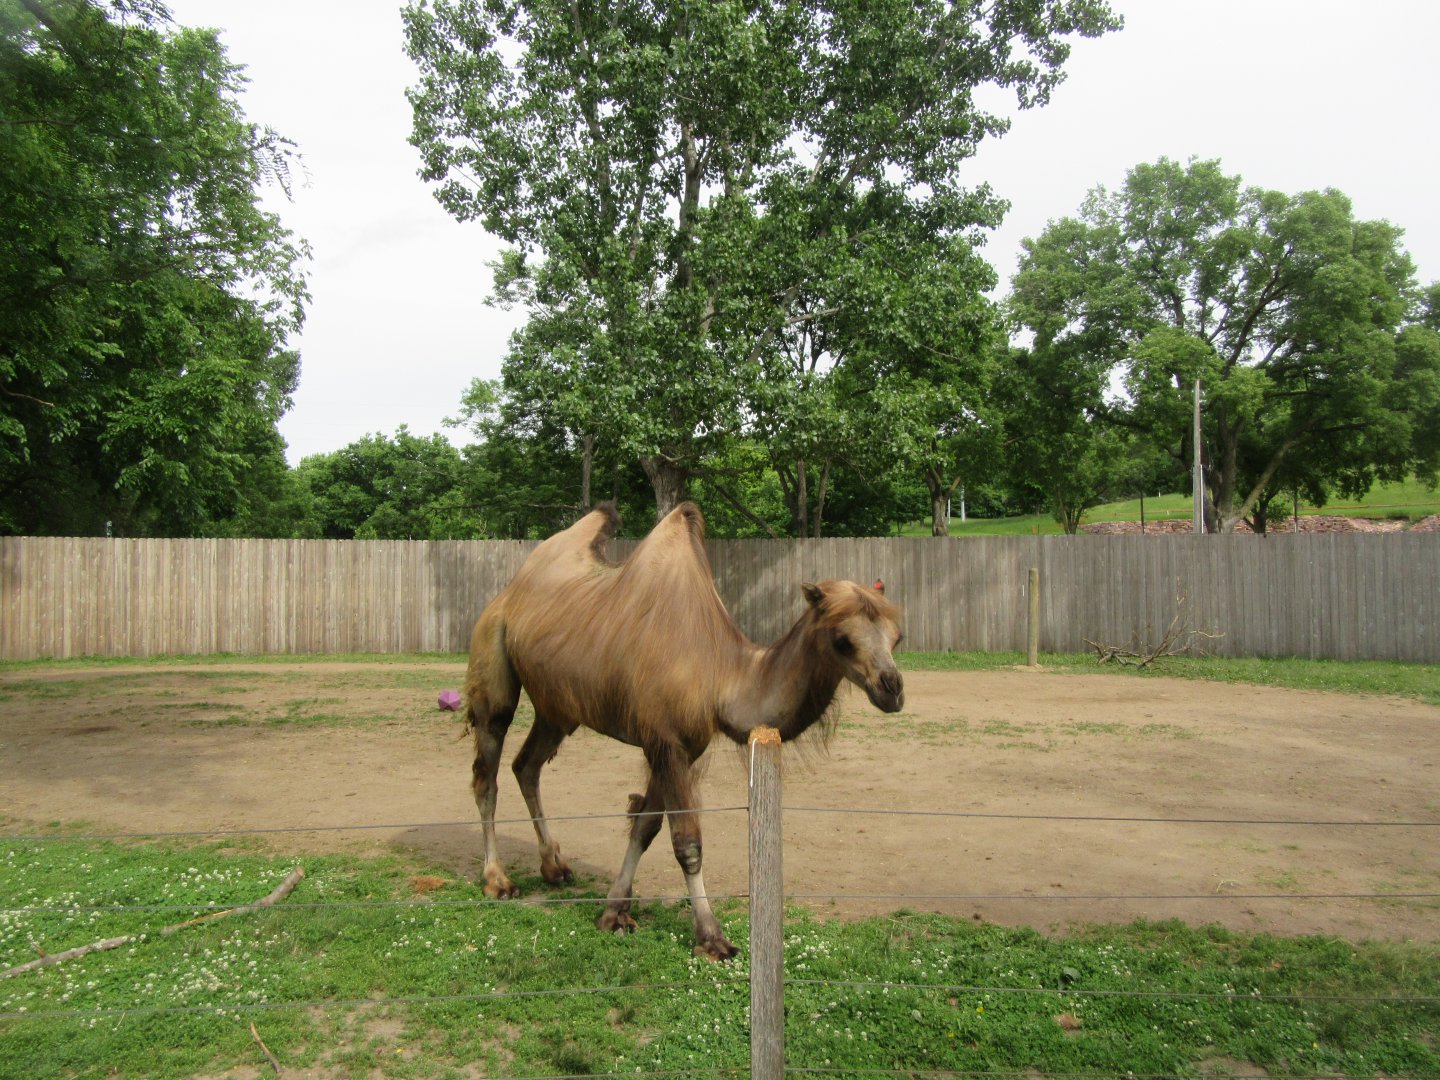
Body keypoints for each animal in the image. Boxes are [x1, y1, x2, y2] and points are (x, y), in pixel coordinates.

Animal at [462, 501, 904, 960]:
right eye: (842, 639)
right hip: (493, 661)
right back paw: (498, 881)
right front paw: (712, 937)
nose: (892, 689)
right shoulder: (665, 741)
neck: (719, 674)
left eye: (897, 638)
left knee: (526, 767)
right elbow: (687, 843)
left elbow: (645, 827)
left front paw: (614, 912)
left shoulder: (678, 748)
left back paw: (554, 866)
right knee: (488, 771)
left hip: (558, 708)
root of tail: (508, 593)